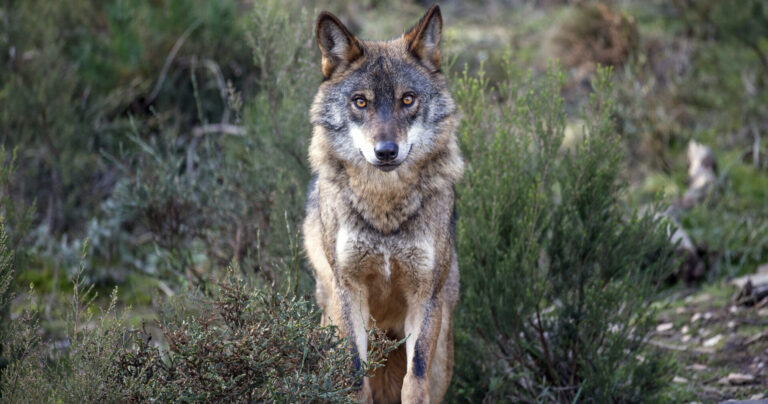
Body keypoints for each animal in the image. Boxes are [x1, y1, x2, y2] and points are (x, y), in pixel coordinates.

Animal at [304, 5, 464, 404]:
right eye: (360, 101)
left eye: (408, 99)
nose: (386, 151)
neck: (385, 208)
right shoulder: (349, 291)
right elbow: (355, 378)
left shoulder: (426, 296)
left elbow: (414, 380)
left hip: (442, 353)